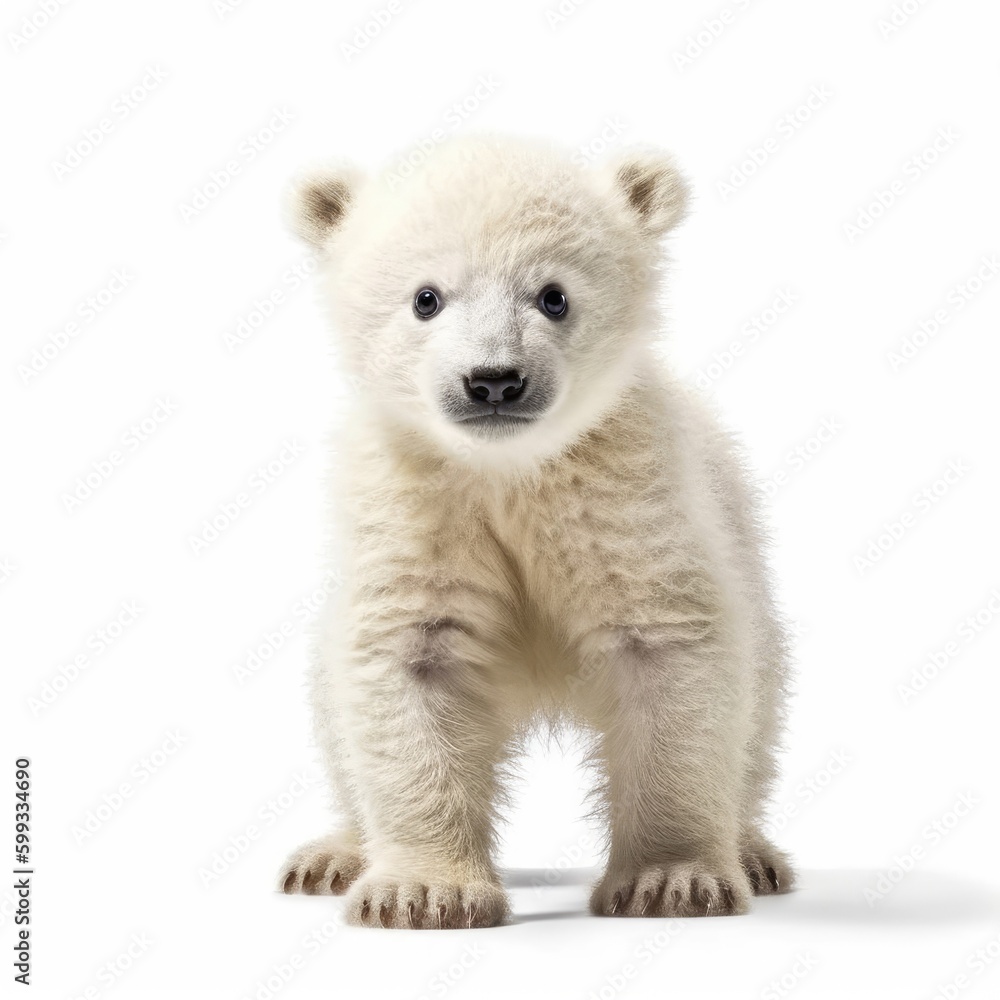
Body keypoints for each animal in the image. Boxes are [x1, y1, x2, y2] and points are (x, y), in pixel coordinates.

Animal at [277, 135, 794, 928]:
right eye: (427, 297)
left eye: (554, 295)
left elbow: (671, 654)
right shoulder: (416, 503)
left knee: (760, 708)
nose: (493, 380)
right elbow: (411, 660)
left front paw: (671, 881)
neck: (508, 469)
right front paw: (421, 892)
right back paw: (332, 857)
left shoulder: (626, 493)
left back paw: (755, 853)